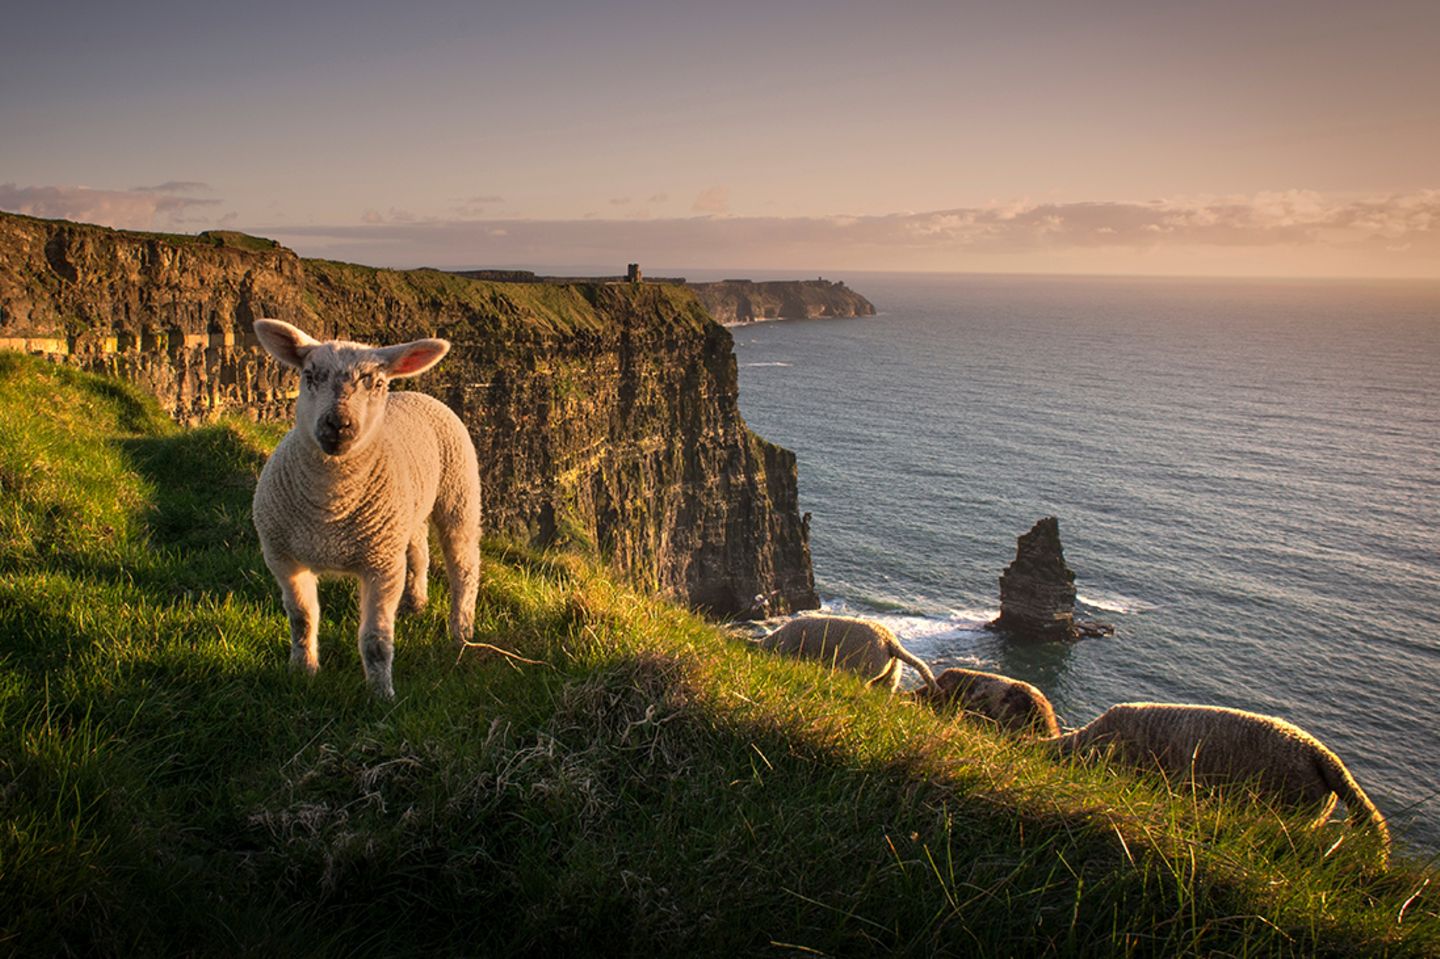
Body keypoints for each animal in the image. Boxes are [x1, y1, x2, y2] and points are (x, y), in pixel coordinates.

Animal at [250, 319, 480, 694]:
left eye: (377, 383)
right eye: (310, 374)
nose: (338, 425)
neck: (330, 508)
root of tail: (416, 393)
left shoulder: (381, 567)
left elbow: (376, 639)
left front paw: (381, 694)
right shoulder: (283, 558)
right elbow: (302, 618)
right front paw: (303, 670)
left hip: (459, 494)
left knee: (464, 566)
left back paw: (461, 632)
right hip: (405, 515)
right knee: (419, 551)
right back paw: (416, 603)